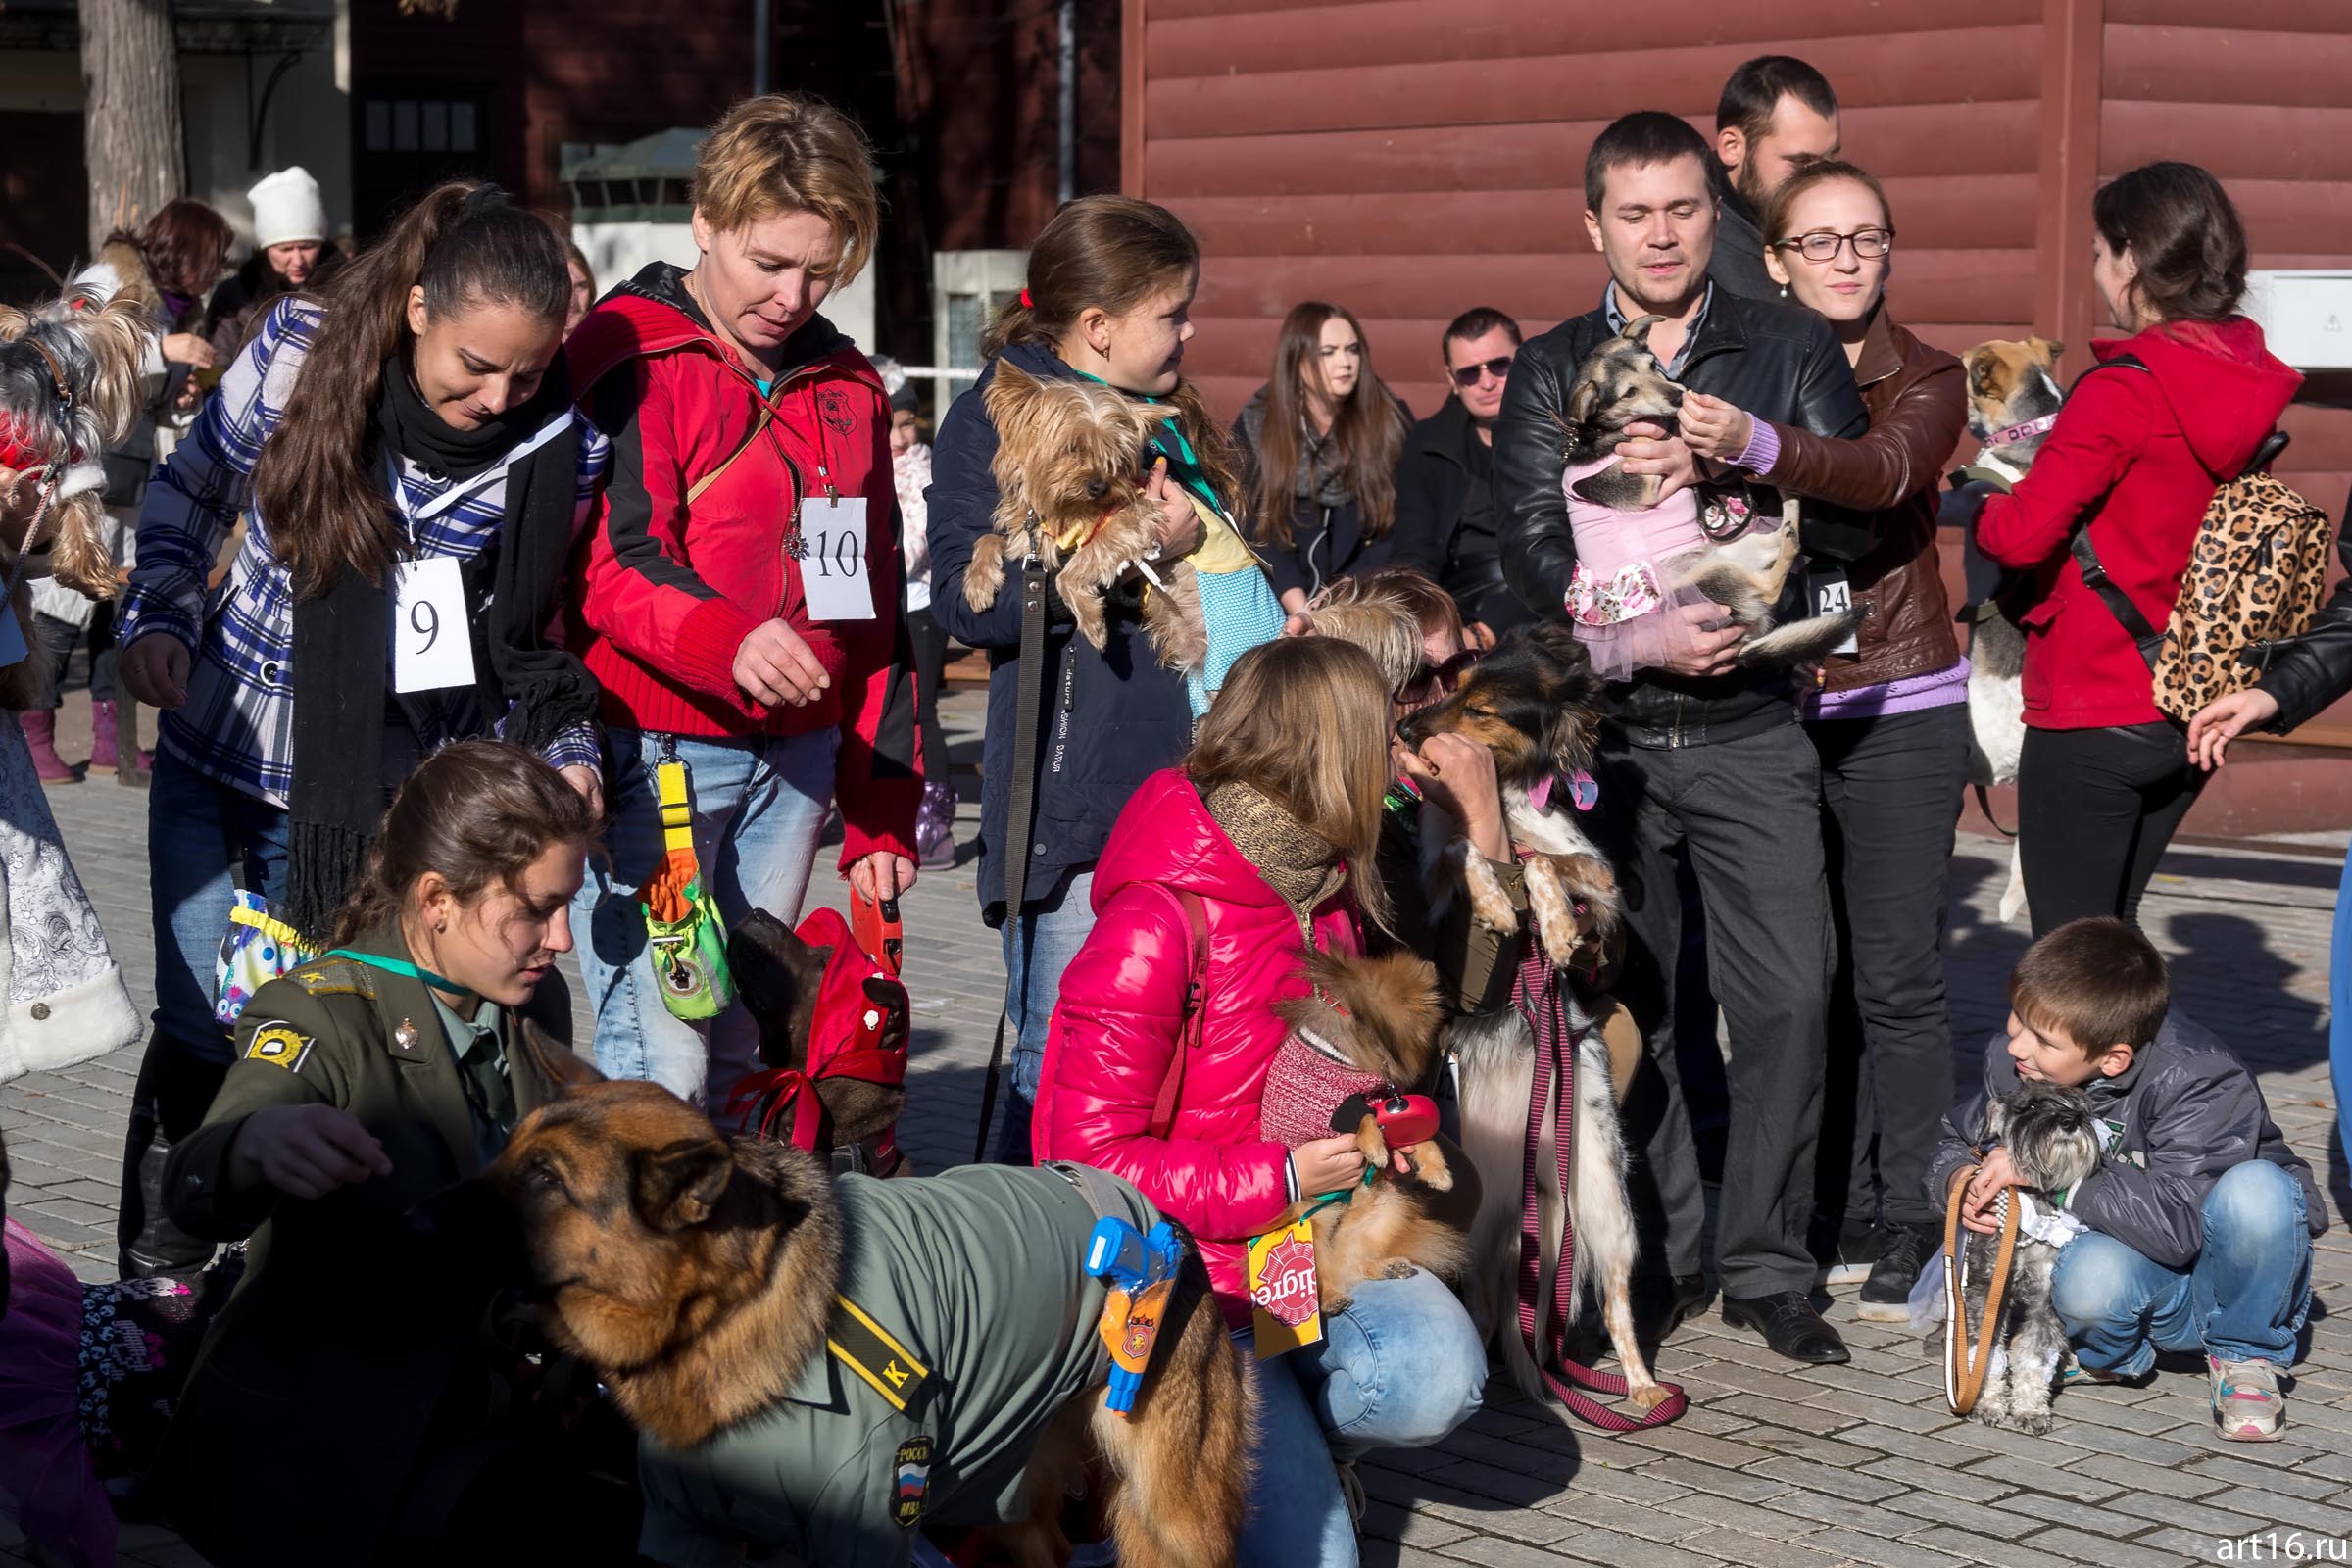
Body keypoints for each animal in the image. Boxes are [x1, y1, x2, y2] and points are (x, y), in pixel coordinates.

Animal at [466, 1048, 1260, 1560]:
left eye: (545, 1181)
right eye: (510, 1150)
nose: (432, 1209)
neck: (734, 1307)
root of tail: (1154, 1222)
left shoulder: (865, 1527)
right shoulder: (686, 1530)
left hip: (1171, 1520)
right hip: (1012, 1480)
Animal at [1260, 950, 1477, 1316]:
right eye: (1443, 1013)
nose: (1462, 1020)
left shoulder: (1386, 1103)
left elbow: (1423, 1138)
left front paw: (1437, 1172)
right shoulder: (1335, 1106)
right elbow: (1363, 1119)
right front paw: (1375, 1147)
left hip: (1387, 1210)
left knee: (1355, 1261)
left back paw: (1387, 1267)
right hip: (1308, 1225)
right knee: (1321, 1275)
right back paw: (1331, 1298)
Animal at [1392, 625, 1674, 1410]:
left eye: (1481, 709)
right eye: (1450, 687)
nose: (1405, 731)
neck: (1502, 799)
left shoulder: (1600, 879)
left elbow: (1544, 863)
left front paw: (1551, 923)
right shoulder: (1433, 884)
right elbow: (1472, 851)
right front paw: (1496, 900)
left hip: (1604, 1196)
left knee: (1614, 1298)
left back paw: (1641, 1387)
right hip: (1488, 1222)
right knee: (1496, 1308)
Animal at [1552, 315, 1862, 667]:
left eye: (1652, 366)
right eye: (1628, 393)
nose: (1677, 396)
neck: (1601, 431)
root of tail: (1743, 643)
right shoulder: (1639, 482)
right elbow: (1644, 434)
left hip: (1732, 552)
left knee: (1779, 541)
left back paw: (1788, 505)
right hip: (1713, 576)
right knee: (1770, 586)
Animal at [1956, 1081, 2107, 1439]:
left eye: (2080, 1106)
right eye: (2031, 1107)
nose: (2069, 1121)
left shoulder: (2044, 1300)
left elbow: (2034, 1357)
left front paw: (2029, 1410)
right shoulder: (1987, 1291)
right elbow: (1986, 1353)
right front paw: (1986, 1403)